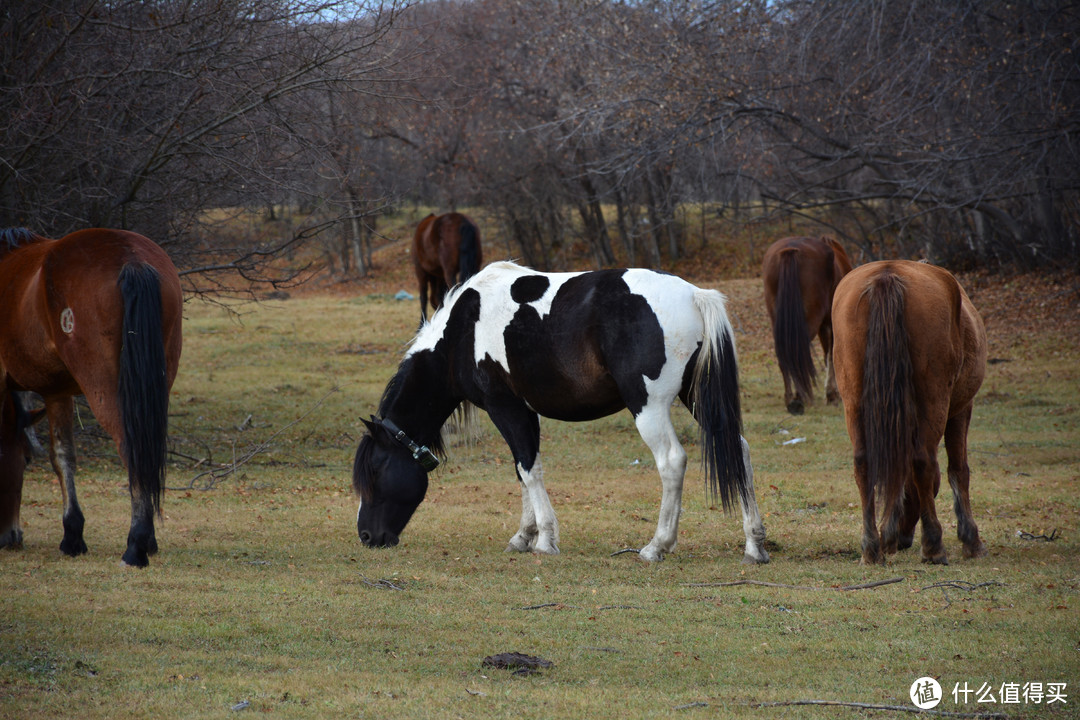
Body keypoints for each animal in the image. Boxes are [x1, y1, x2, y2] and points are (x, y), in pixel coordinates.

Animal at [0, 227, 183, 565]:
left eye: (27, 460)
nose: (11, 537)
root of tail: (131, 257)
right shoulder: (57, 392)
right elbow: (63, 456)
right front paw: (72, 535)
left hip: (103, 386)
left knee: (131, 449)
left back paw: (136, 547)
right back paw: (148, 540)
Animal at [354, 262, 768, 565]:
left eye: (375, 470)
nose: (366, 536)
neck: (461, 332)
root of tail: (695, 295)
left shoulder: (505, 408)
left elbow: (528, 469)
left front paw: (544, 540)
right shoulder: (525, 413)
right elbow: (522, 469)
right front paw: (524, 536)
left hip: (649, 407)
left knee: (672, 461)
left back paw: (656, 546)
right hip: (697, 399)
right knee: (740, 450)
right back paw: (754, 545)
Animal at [760, 236, 851, 414]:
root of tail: (790, 250)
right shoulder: (830, 324)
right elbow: (830, 354)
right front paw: (832, 394)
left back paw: (790, 398)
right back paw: (798, 399)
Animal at [829, 262, 989, 565]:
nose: (900, 541)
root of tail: (887, 273)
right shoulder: (961, 410)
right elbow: (958, 470)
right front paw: (971, 540)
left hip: (853, 403)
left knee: (863, 463)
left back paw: (871, 548)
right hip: (934, 401)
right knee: (922, 462)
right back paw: (933, 546)